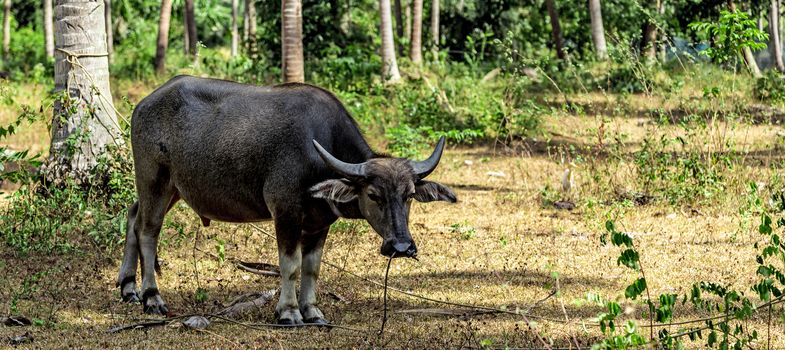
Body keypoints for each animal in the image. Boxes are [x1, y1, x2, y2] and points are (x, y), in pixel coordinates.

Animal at [118, 75, 456, 324]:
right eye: (373, 195)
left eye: (409, 196)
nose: (401, 246)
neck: (319, 153)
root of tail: (143, 105)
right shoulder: (285, 212)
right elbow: (290, 264)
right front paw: (289, 312)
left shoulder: (319, 224)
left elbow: (311, 268)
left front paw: (312, 311)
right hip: (154, 179)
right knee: (148, 230)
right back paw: (152, 297)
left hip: (173, 188)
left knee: (133, 215)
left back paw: (128, 289)